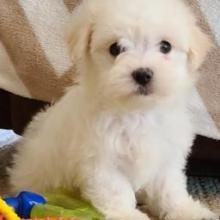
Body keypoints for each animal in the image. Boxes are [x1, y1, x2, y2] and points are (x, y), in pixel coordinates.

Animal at [9, 0, 218, 220]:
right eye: (115, 49)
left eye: (165, 46)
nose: (143, 74)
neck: (138, 111)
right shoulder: (101, 161)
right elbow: (116, 191)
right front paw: (128, 214)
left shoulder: (166, 156)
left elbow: (168, 189)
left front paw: (185, 210)